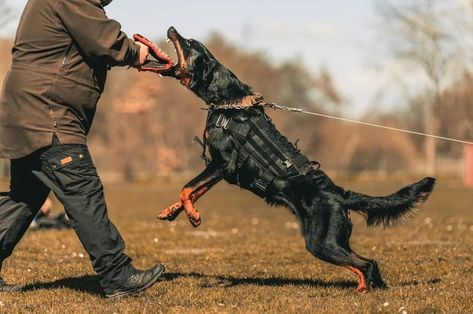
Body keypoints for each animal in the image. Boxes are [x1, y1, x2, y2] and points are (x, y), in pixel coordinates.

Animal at [156, 26, 436, 292]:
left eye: (189, 43)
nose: (171, 28)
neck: (227, 101)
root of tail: (339, 194)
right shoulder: (219, 171)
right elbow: (193, 191)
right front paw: (172, 211)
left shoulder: (222, 164)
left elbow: (187, 188)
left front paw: (193, 216)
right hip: (332, 239)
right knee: (368, 263)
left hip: (320, 241)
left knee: (365, 264)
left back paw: (363, 290)